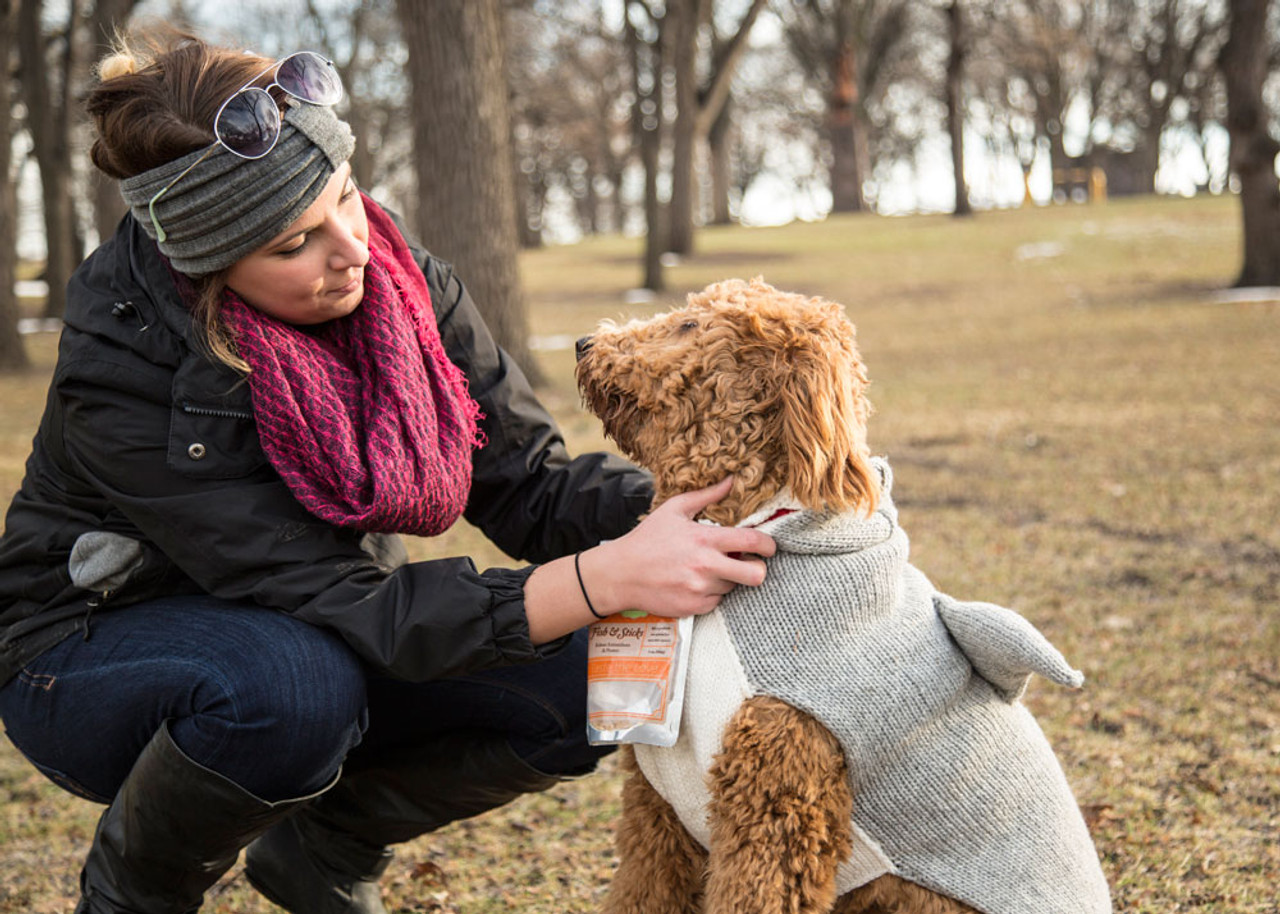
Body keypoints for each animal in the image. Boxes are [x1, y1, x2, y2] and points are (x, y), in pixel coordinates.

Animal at [573, 277, 1111, 911]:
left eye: (687, 326)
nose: (583, 342)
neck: (761, 527)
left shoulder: (774, 805)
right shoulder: (658, 811)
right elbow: (642, 888)